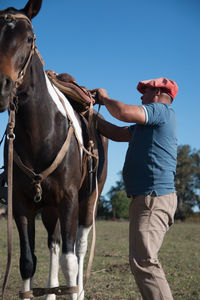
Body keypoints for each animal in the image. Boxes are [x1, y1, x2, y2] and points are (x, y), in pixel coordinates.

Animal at [0, 1, 108, 298]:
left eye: (29, 38)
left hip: (88, 200)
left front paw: (72, 290)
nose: (1, 87)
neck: (41, 134)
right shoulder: (21, 204)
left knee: (79, 248)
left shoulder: (69, 199)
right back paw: (50, 291)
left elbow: (69, 262)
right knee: (54, 244)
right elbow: (27, 261)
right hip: (48, 208)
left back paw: (79, 291)